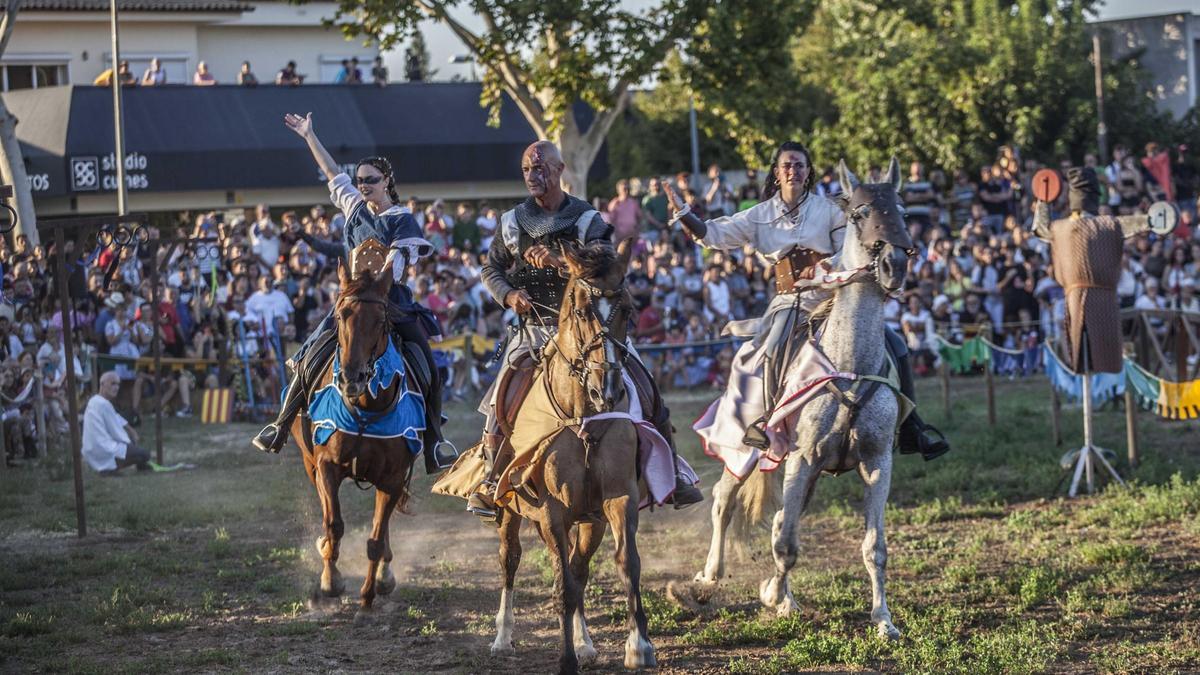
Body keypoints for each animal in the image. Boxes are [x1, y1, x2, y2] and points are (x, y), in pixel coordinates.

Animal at [289, 263, 417, 610]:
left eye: (380, 321)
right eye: (340, 315)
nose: (351, 378)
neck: (365, 407)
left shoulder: (392, 477)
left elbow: (375, 538)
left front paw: (369, 594)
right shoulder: (327, 466)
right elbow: (334, 524)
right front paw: (331, 580)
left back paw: (384, 574)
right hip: (310, 464)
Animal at [487, 240, 657, 672]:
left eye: (627, 309)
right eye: (581, 311)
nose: (606, 388)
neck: (582, 414)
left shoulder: (617, 498)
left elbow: (625, 564)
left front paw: (638, 646)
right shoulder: (552, 510)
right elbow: (563, 584)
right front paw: (565, 660)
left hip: (590, 520)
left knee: (579, 568)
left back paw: (584, 642)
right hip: (509, 509)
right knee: (510, 559)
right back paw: (503, 636)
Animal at [696, 157, 907, 634]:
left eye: (901, 208)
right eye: (860, 214)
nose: (894, 265)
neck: (849, 364)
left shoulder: (877, 461)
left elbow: (874, 548)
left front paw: (883, 619)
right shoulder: (804, 457)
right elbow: (786, 543)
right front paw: (775, 597)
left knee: (774, 519)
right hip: (745, 449)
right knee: (724, 501)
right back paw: (710, 576)